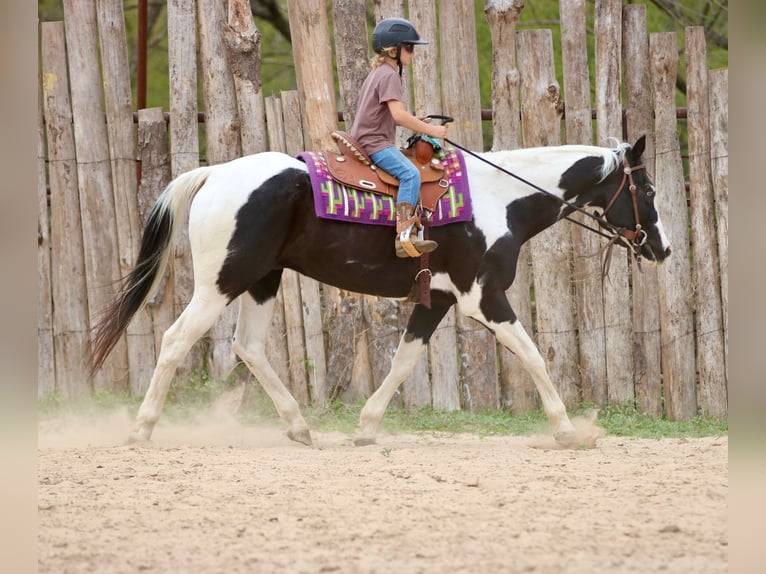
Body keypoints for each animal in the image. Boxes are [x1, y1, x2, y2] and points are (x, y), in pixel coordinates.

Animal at [90, 134, 671, 448]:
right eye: (646, 189)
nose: (661, 249)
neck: (499, 198)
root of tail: (214, 175)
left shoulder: (438, 301)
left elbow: (403, 361)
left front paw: (367, 427)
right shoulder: (483, 297)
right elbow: (532, 355)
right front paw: (568, 430)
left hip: (262, 279)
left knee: (247, 347)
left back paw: (300, 427)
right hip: (222, 281)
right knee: (176, 339)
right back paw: (141, 429)